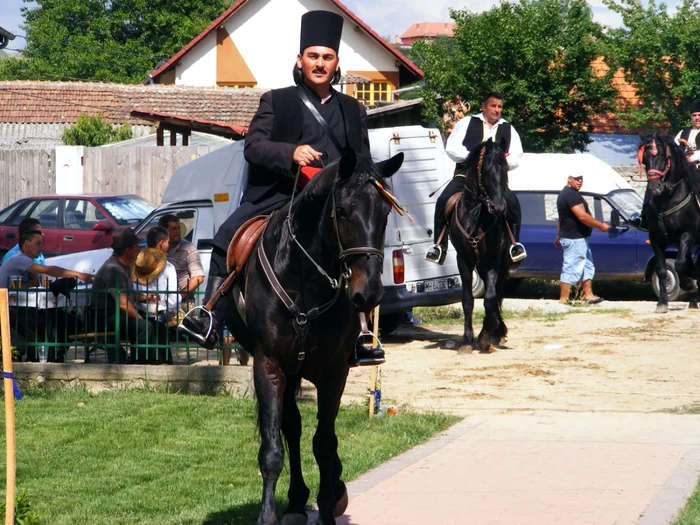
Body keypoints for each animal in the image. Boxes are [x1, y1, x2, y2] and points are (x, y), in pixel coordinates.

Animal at [221, 147, 402, 524]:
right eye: (343, 212)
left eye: (385, 214)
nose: (369, 293)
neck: (305, 282)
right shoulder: (269, 366)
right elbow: (273, 448)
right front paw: (267, 516)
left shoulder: (334, 372)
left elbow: (325, 442)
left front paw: (331, 505)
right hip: (288, 372)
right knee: (291, 427)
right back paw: (294, 502)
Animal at [448, 137, 508, 352]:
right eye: (487, 171)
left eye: (505, 169)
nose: (498, 208)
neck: (477, 215)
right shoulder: (464, 260)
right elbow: (468, 300)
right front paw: (467, 340)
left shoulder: (493, 259)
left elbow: (490, 299)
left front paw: (485, 335)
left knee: (498, 294)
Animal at [640, 131, 700, 312]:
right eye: (645, 158)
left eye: (662, 156)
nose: (655, 187)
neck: (668, 199)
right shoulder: (656, 238)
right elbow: (662, 270)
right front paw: (662, 303)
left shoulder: (687, 235)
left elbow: (679, 264)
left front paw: (688, 284)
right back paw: (694, 300)